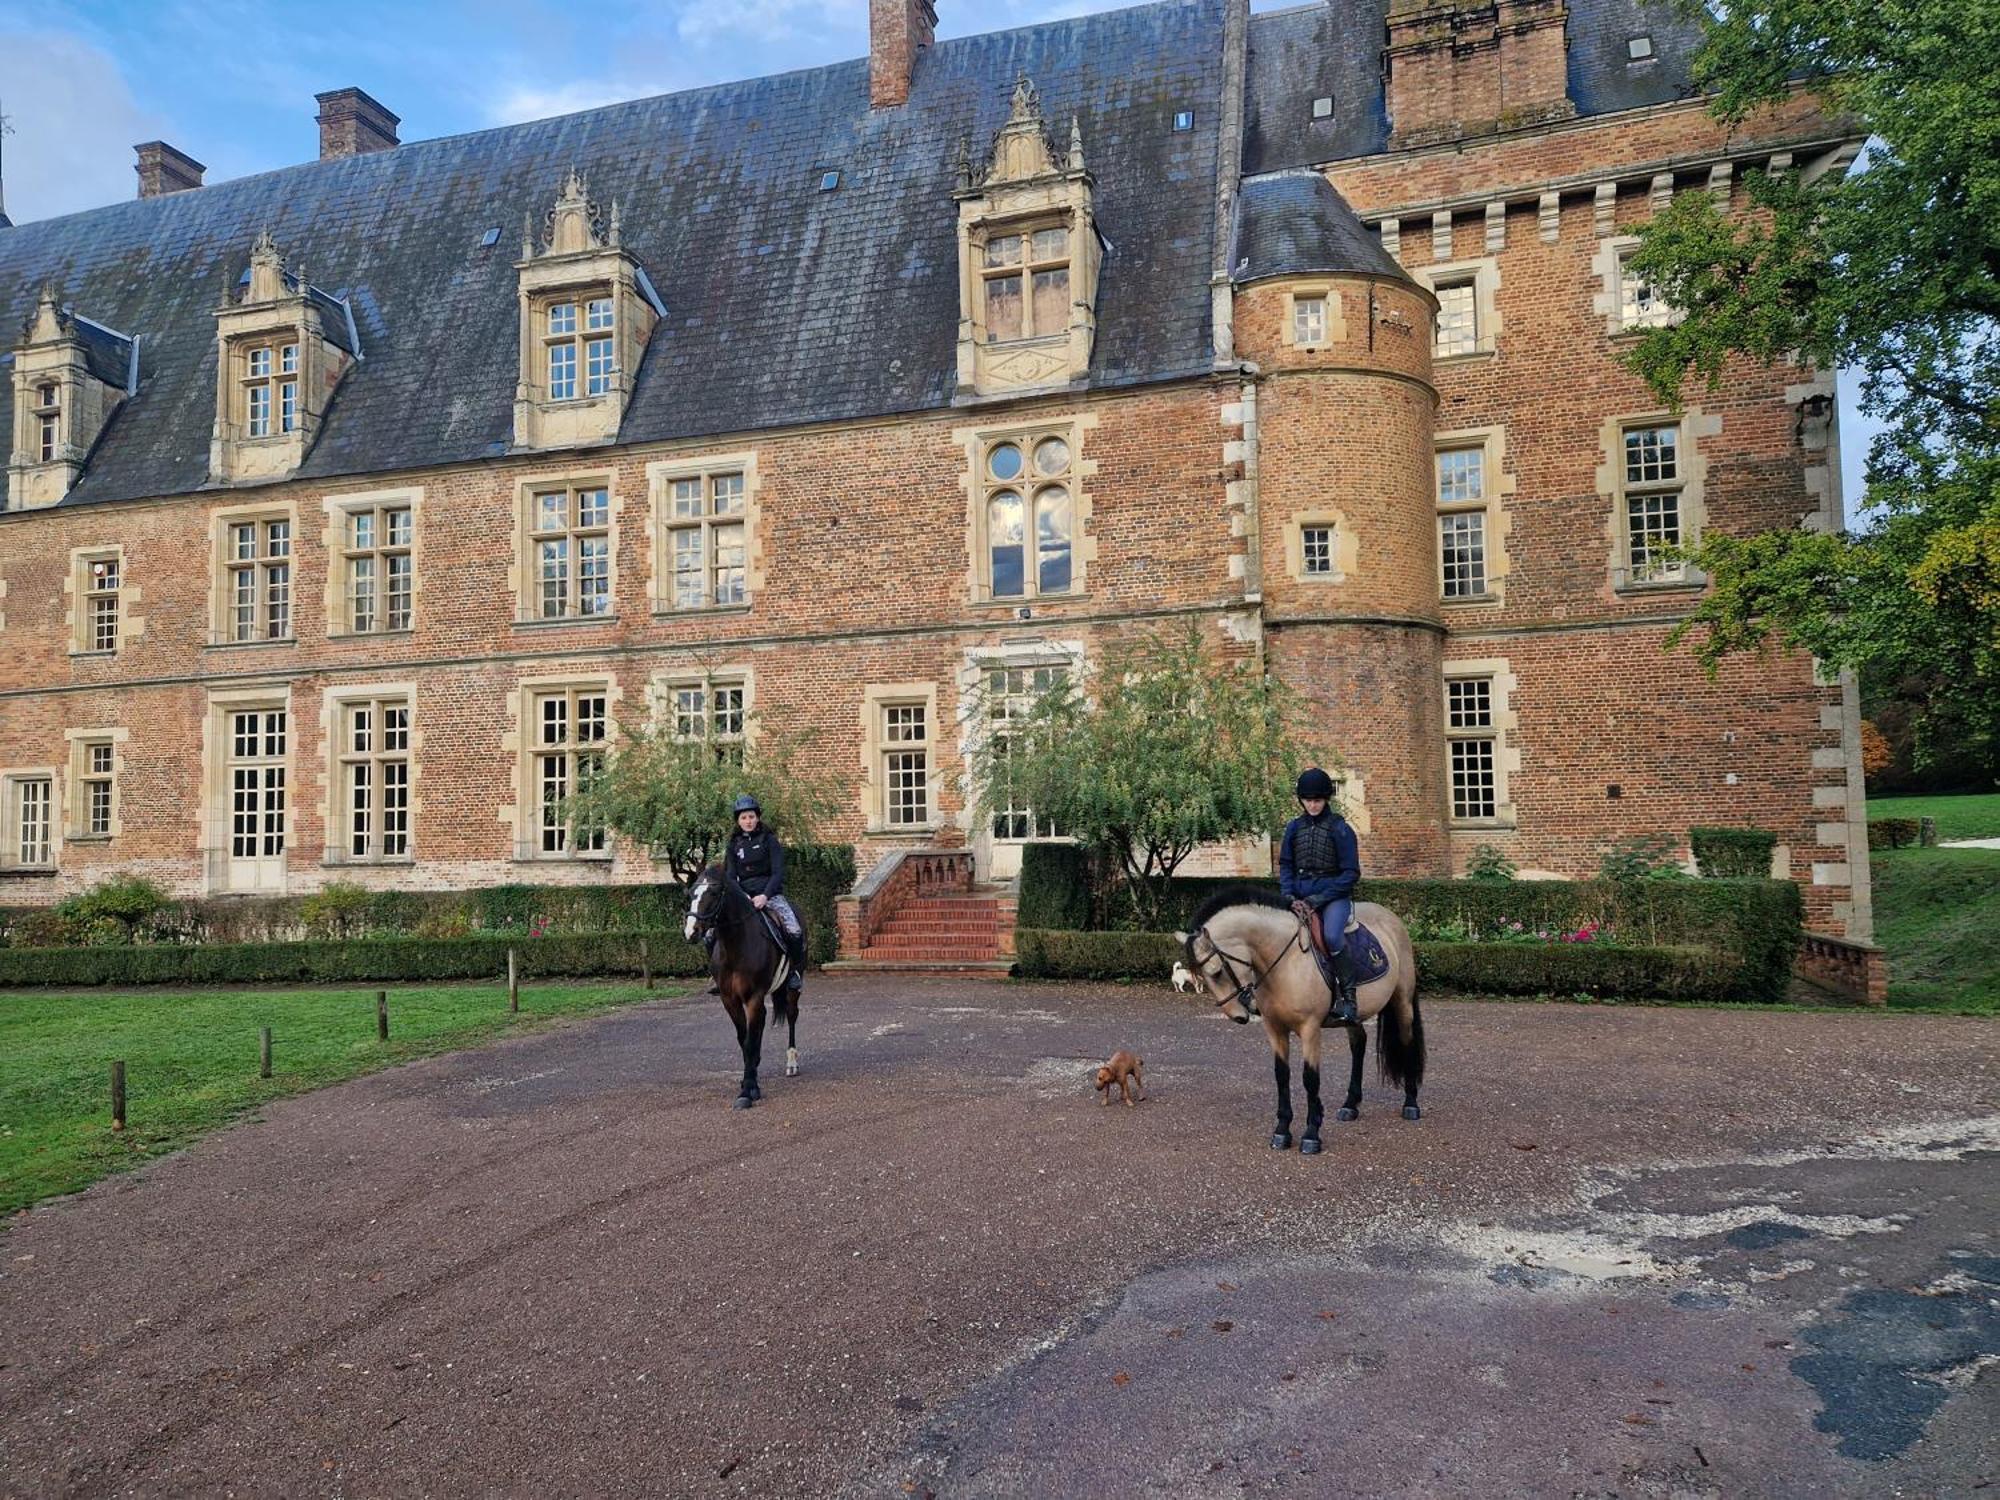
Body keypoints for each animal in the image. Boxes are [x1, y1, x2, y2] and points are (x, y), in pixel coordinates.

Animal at [684, 864, 800, 1112]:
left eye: (714, 893)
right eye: (691, 894)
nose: (691, 932)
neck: (736, 945)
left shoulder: (753, 997)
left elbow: (750, 1040)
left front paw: (748, 1090)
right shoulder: (729, 999)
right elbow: (744, 1039)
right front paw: (749, 1079)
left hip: (793, 988)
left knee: (792, 1016)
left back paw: (792, 1063)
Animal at [1168, 888, 1424, 1160]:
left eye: (1216, 972)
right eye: (1202, 977)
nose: (1239, 1016)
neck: (1285, 962)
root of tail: (1391, 918)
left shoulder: (1310, 1029)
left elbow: (1310, 1078)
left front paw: (1311, 1134)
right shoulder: (1275, 1029)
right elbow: (1282, 1076)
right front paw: (1282, 1131)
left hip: (1402, 1002)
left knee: (1407, 1042)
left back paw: (1410, 1103)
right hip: (1354, 1016)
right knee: (1358, 1046)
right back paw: (1350, 1105)